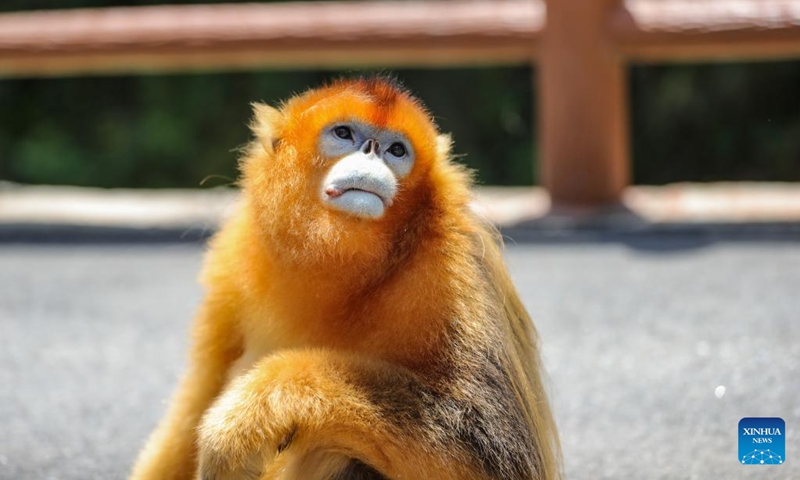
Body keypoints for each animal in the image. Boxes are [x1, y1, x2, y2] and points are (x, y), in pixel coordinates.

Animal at [129, 76, 561, 480]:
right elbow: (200, 393)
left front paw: (252, 412)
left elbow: (494, 453)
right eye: (344, 134)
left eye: (397, 150)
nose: (371, 150)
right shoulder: (233, 258)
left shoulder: (453, 263)